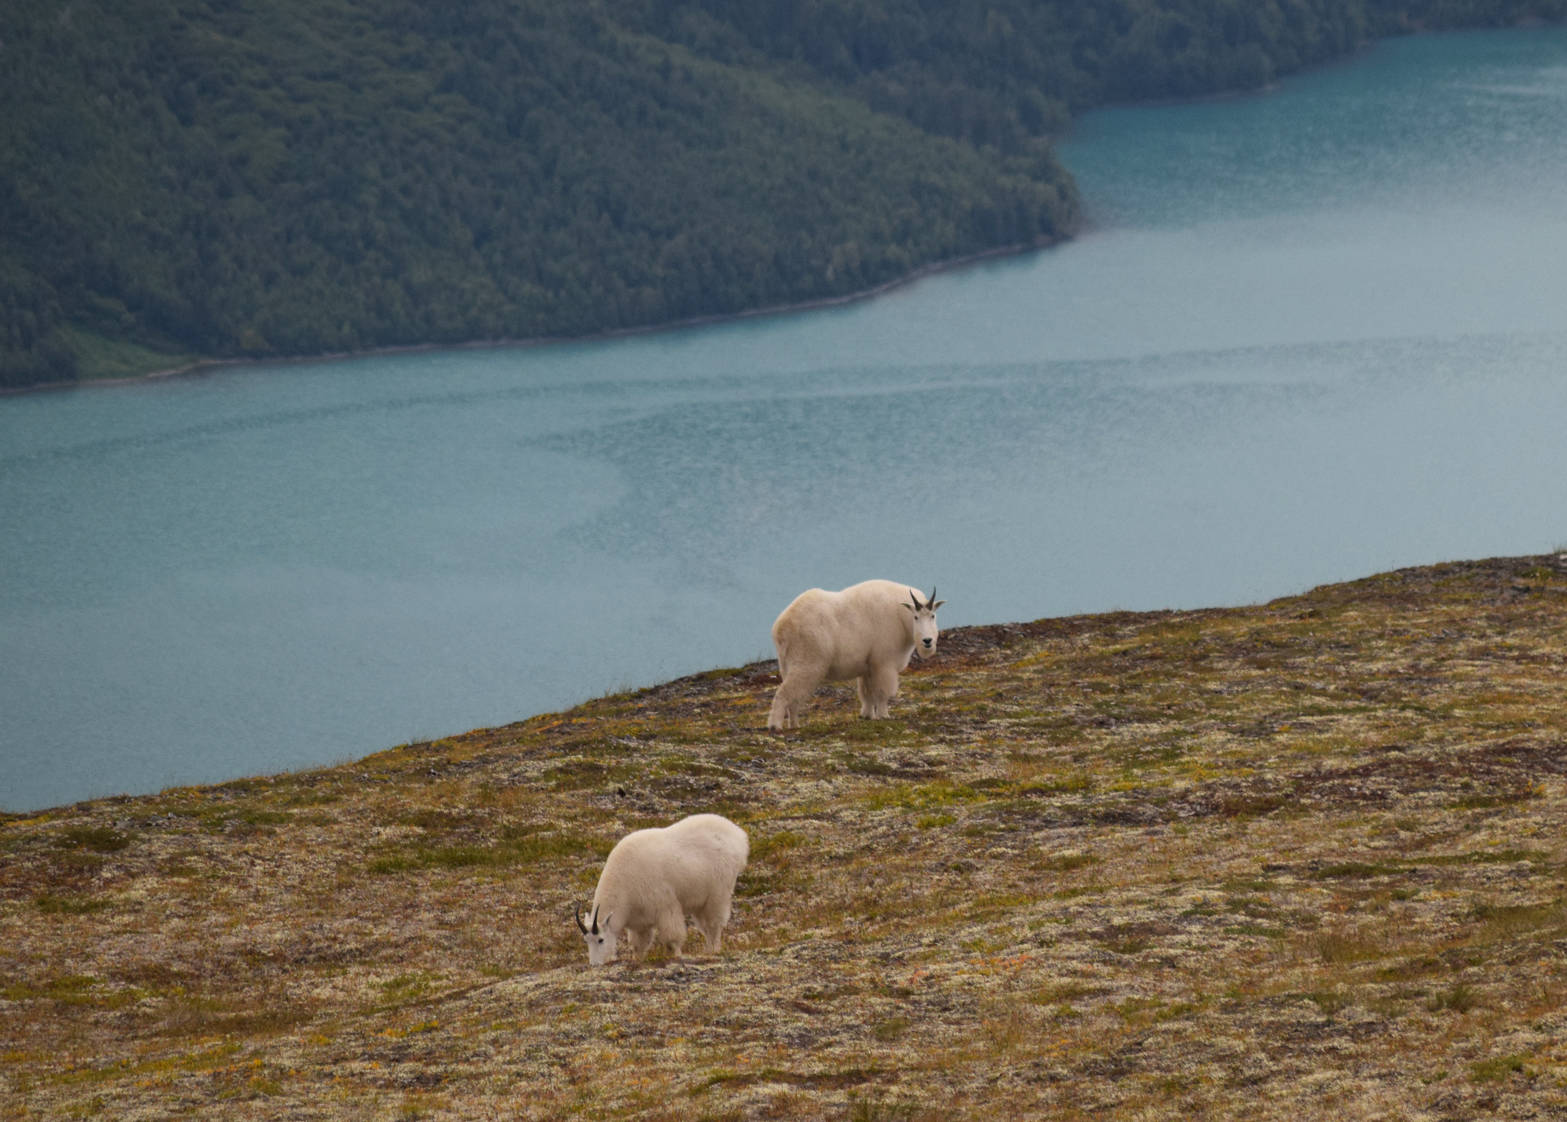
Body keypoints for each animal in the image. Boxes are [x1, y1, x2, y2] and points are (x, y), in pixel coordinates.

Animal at [576, 808, 745, 971]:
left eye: (601, 940)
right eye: (586, 940)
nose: (595, 964)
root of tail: (739, 836)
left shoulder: (665, 906)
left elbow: (672, 938)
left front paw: (677, 957)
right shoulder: (639, 921)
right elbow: (639, 945)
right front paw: (637, 960)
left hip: (719, 892)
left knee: (714, 924)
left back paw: (714, 951)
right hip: (701, 901)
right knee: (706, 927)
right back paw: (708, 951)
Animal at [767, 582, 940, 733]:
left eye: (933, 616)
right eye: (916, 617)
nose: (927, 641)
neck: (900, 616)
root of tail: (781, 627)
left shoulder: (868, 665)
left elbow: (867, 692)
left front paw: (867, 715)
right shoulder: (884, 662)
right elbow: (882, 692)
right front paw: (884, 715)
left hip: (787, 664)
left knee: (794, 698)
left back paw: (795, 724)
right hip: (807, 661)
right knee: (784, 693)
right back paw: (775, 725)